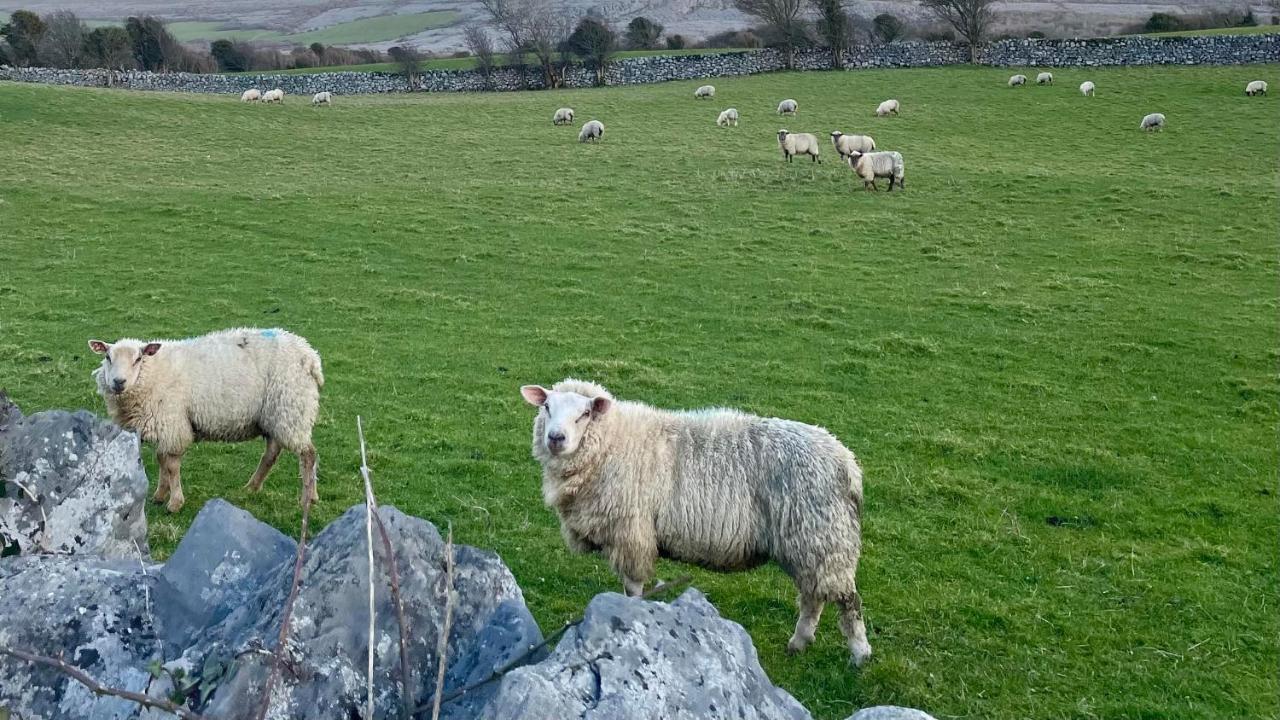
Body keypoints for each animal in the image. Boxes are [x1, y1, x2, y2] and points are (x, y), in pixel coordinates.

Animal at [87, 327, 322, 512]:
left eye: (138, 359)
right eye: (108, 357)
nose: (118, 382)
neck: (152, 373)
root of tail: (310, 355)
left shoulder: (172, 424)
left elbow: (171, 465)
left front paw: (175, 503)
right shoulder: (164, 425)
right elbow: (161, 460)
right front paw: (160, 495)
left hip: (292, 409)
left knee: (308, 455)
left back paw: (308, 498)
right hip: (275, 416)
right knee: (271, 454)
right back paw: (252, 487)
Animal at [517, 379, 870, 666]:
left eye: (585, 414)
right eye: (547, 407)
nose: (556, 438)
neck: (612, 442)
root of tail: (847, 463)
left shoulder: (631, 533)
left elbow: (632, 588)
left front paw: (631, 615)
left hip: (823, 535)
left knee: (845, 600)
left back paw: (859, 654)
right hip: (812, 542)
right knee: (814, 596)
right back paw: (799, 643)